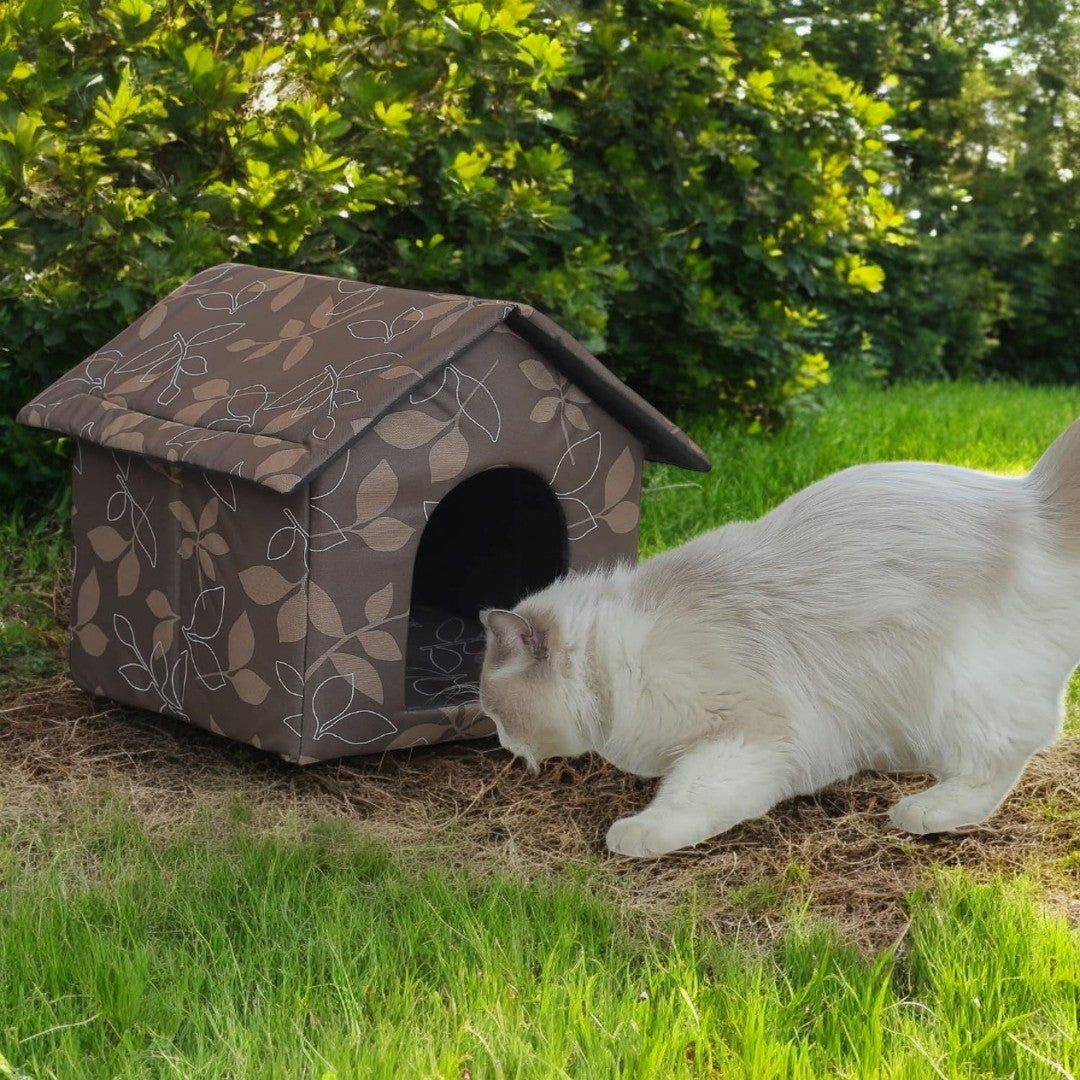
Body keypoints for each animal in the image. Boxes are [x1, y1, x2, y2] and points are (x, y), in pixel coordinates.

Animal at [481, 416, 1080, 855]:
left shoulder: (747, 735)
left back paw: (925, 812)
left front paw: (637, 834)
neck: (612, 655)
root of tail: (1031, 500)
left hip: (958, 695)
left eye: (495, 713)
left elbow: (687, 798)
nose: (503, 745)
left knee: (1006, 754)